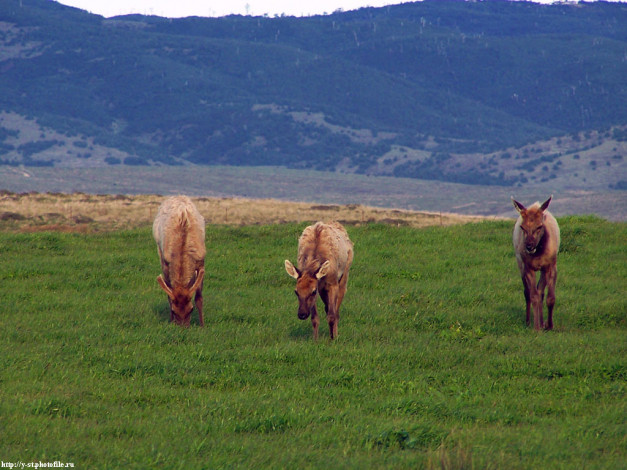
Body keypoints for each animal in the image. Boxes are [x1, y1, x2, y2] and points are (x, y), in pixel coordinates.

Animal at [153, 196, 206, 326]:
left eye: (191, 309)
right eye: (173, 310)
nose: (183, 327)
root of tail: (177, 196)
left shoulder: (201, 259)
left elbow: (199, 297)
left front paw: (202, 325)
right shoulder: (166, 262)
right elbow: (168, 294)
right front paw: (171, 321)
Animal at [512, 195, 560, 330]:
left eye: (539, 226)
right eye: (522, 227)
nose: (529, 246)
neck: (539, 254)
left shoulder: (551, 265)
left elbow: (550, 297)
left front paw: (549, 325)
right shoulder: (528, 267)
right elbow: (533, 295)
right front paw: (536, 327)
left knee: (541, 292)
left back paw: (543, 322)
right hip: (520, 263)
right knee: (527, 292)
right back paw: (529, 321)